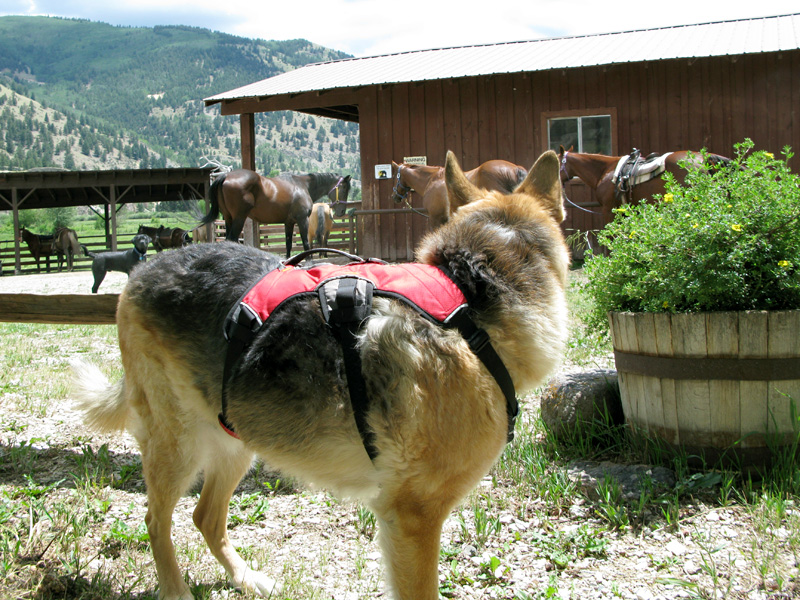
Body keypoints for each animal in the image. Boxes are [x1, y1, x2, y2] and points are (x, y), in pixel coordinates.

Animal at [202, 169, 352, 258]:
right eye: (344, 188)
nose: (342, 211)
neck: (303, 186)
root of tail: (225, 175)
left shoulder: (289, 222)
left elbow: (288, 245)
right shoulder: (303, 220)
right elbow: (306, 244)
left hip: (228, 218)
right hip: (239, 218)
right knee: (232, 239)